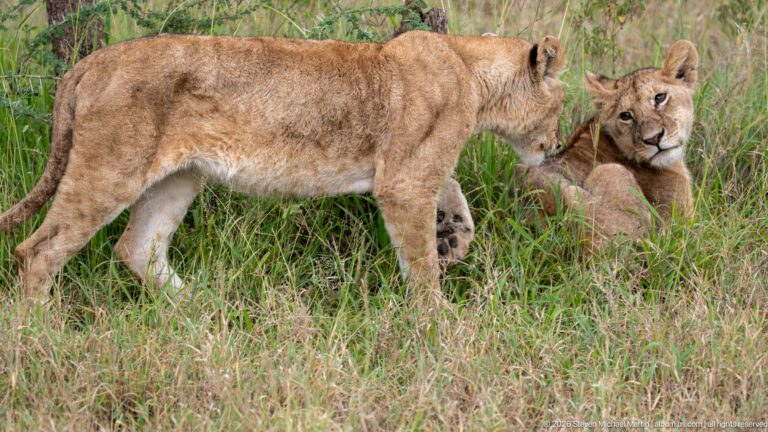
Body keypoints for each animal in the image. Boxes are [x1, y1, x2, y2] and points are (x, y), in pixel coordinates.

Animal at [0, 31, 566, 301]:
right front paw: (438, 325)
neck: (472, 72)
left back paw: (204, 309)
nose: (557, 146)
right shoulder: (403, 183)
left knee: (137, 249)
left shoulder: (414, 169)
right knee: (37, 252)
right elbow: (420, 265)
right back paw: (40, 334)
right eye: (560, 108)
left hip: (179, 176)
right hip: (111, 170)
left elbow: (454, 193)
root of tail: (90, 62)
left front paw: (454, 238)